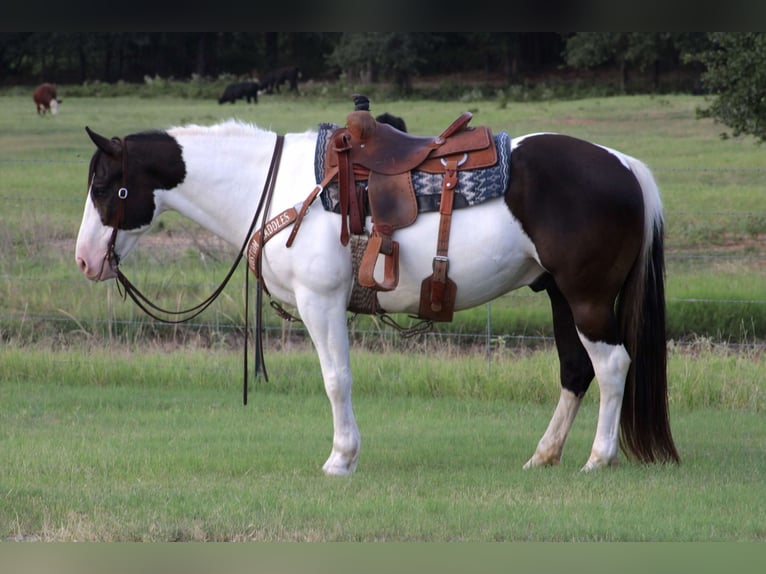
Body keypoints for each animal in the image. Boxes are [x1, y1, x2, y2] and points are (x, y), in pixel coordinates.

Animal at [75, 110, 680, 474]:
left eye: (105, 187)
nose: (84, 259)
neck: (276, 187)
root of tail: (625, 166)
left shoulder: (321, 302)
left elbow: (336, 379)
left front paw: (341, 458)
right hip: (558, 295)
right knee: (576, 371)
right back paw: (543, 455)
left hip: (587, 298)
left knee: (612, 366)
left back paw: (598, 458)